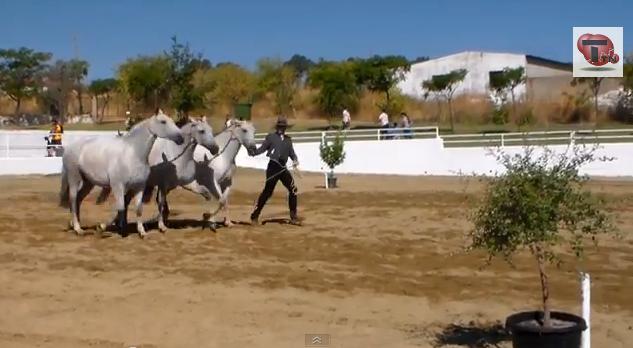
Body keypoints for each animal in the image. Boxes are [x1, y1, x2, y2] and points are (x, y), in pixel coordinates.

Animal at [59, 110, 184, 238]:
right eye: (163, 121)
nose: (181, 138)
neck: (132, 154)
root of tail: (70, 147)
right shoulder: (118, 186)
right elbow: (121, 207)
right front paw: (121, 231)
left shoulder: (139, 187)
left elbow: (138, 209)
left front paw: (142, 232)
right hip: (74, 177)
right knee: (73, 200)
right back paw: (77, 229)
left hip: (88, 183)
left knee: (78, 199)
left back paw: (76, 225)